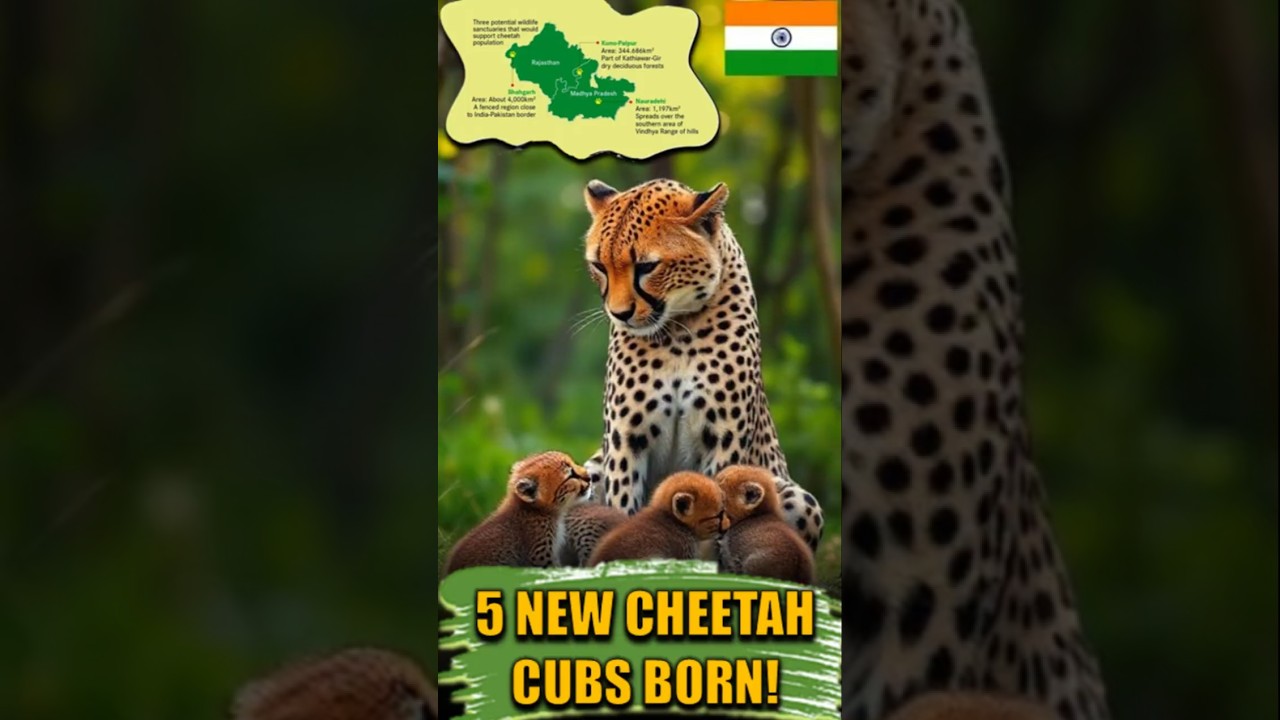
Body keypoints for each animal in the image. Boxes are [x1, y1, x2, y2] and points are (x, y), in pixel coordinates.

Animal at [578, 178, 824, 550]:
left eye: (647, 267)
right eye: (599, 266)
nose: (619, 314)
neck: (677, 333)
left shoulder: (723, 440)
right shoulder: (626, 441)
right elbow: (623, 509)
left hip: (800, 499)